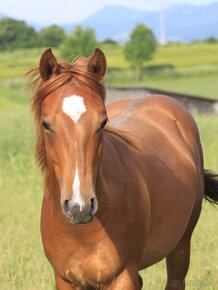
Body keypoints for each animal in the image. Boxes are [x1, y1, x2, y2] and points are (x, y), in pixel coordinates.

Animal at [27, 48, 218, 288]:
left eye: (102, 122)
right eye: (46, 124)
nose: (79, 207)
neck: (82, 232)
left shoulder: (123, 277)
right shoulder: (65, 280)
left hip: (181, 246)